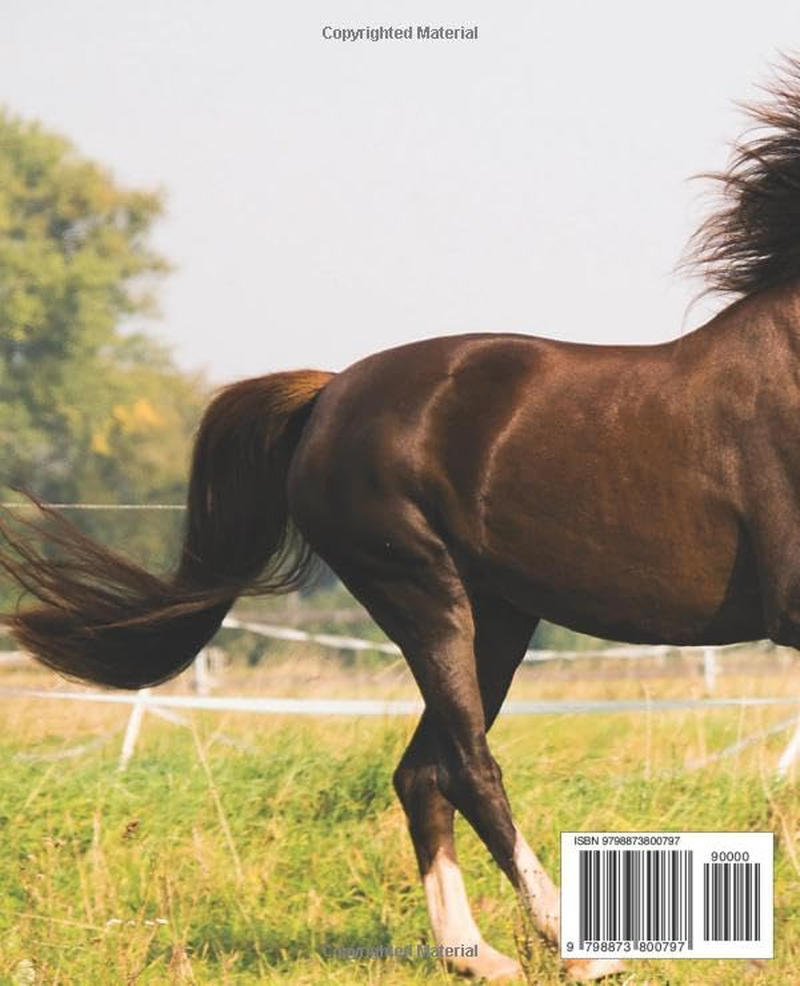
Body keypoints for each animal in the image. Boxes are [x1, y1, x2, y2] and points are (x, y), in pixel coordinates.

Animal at [3, 57, 800, 982]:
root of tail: (328, 394)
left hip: (495, 615)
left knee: (424, 773)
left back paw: (478, 955)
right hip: (425, 594)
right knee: (468, 768)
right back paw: (570, 948)